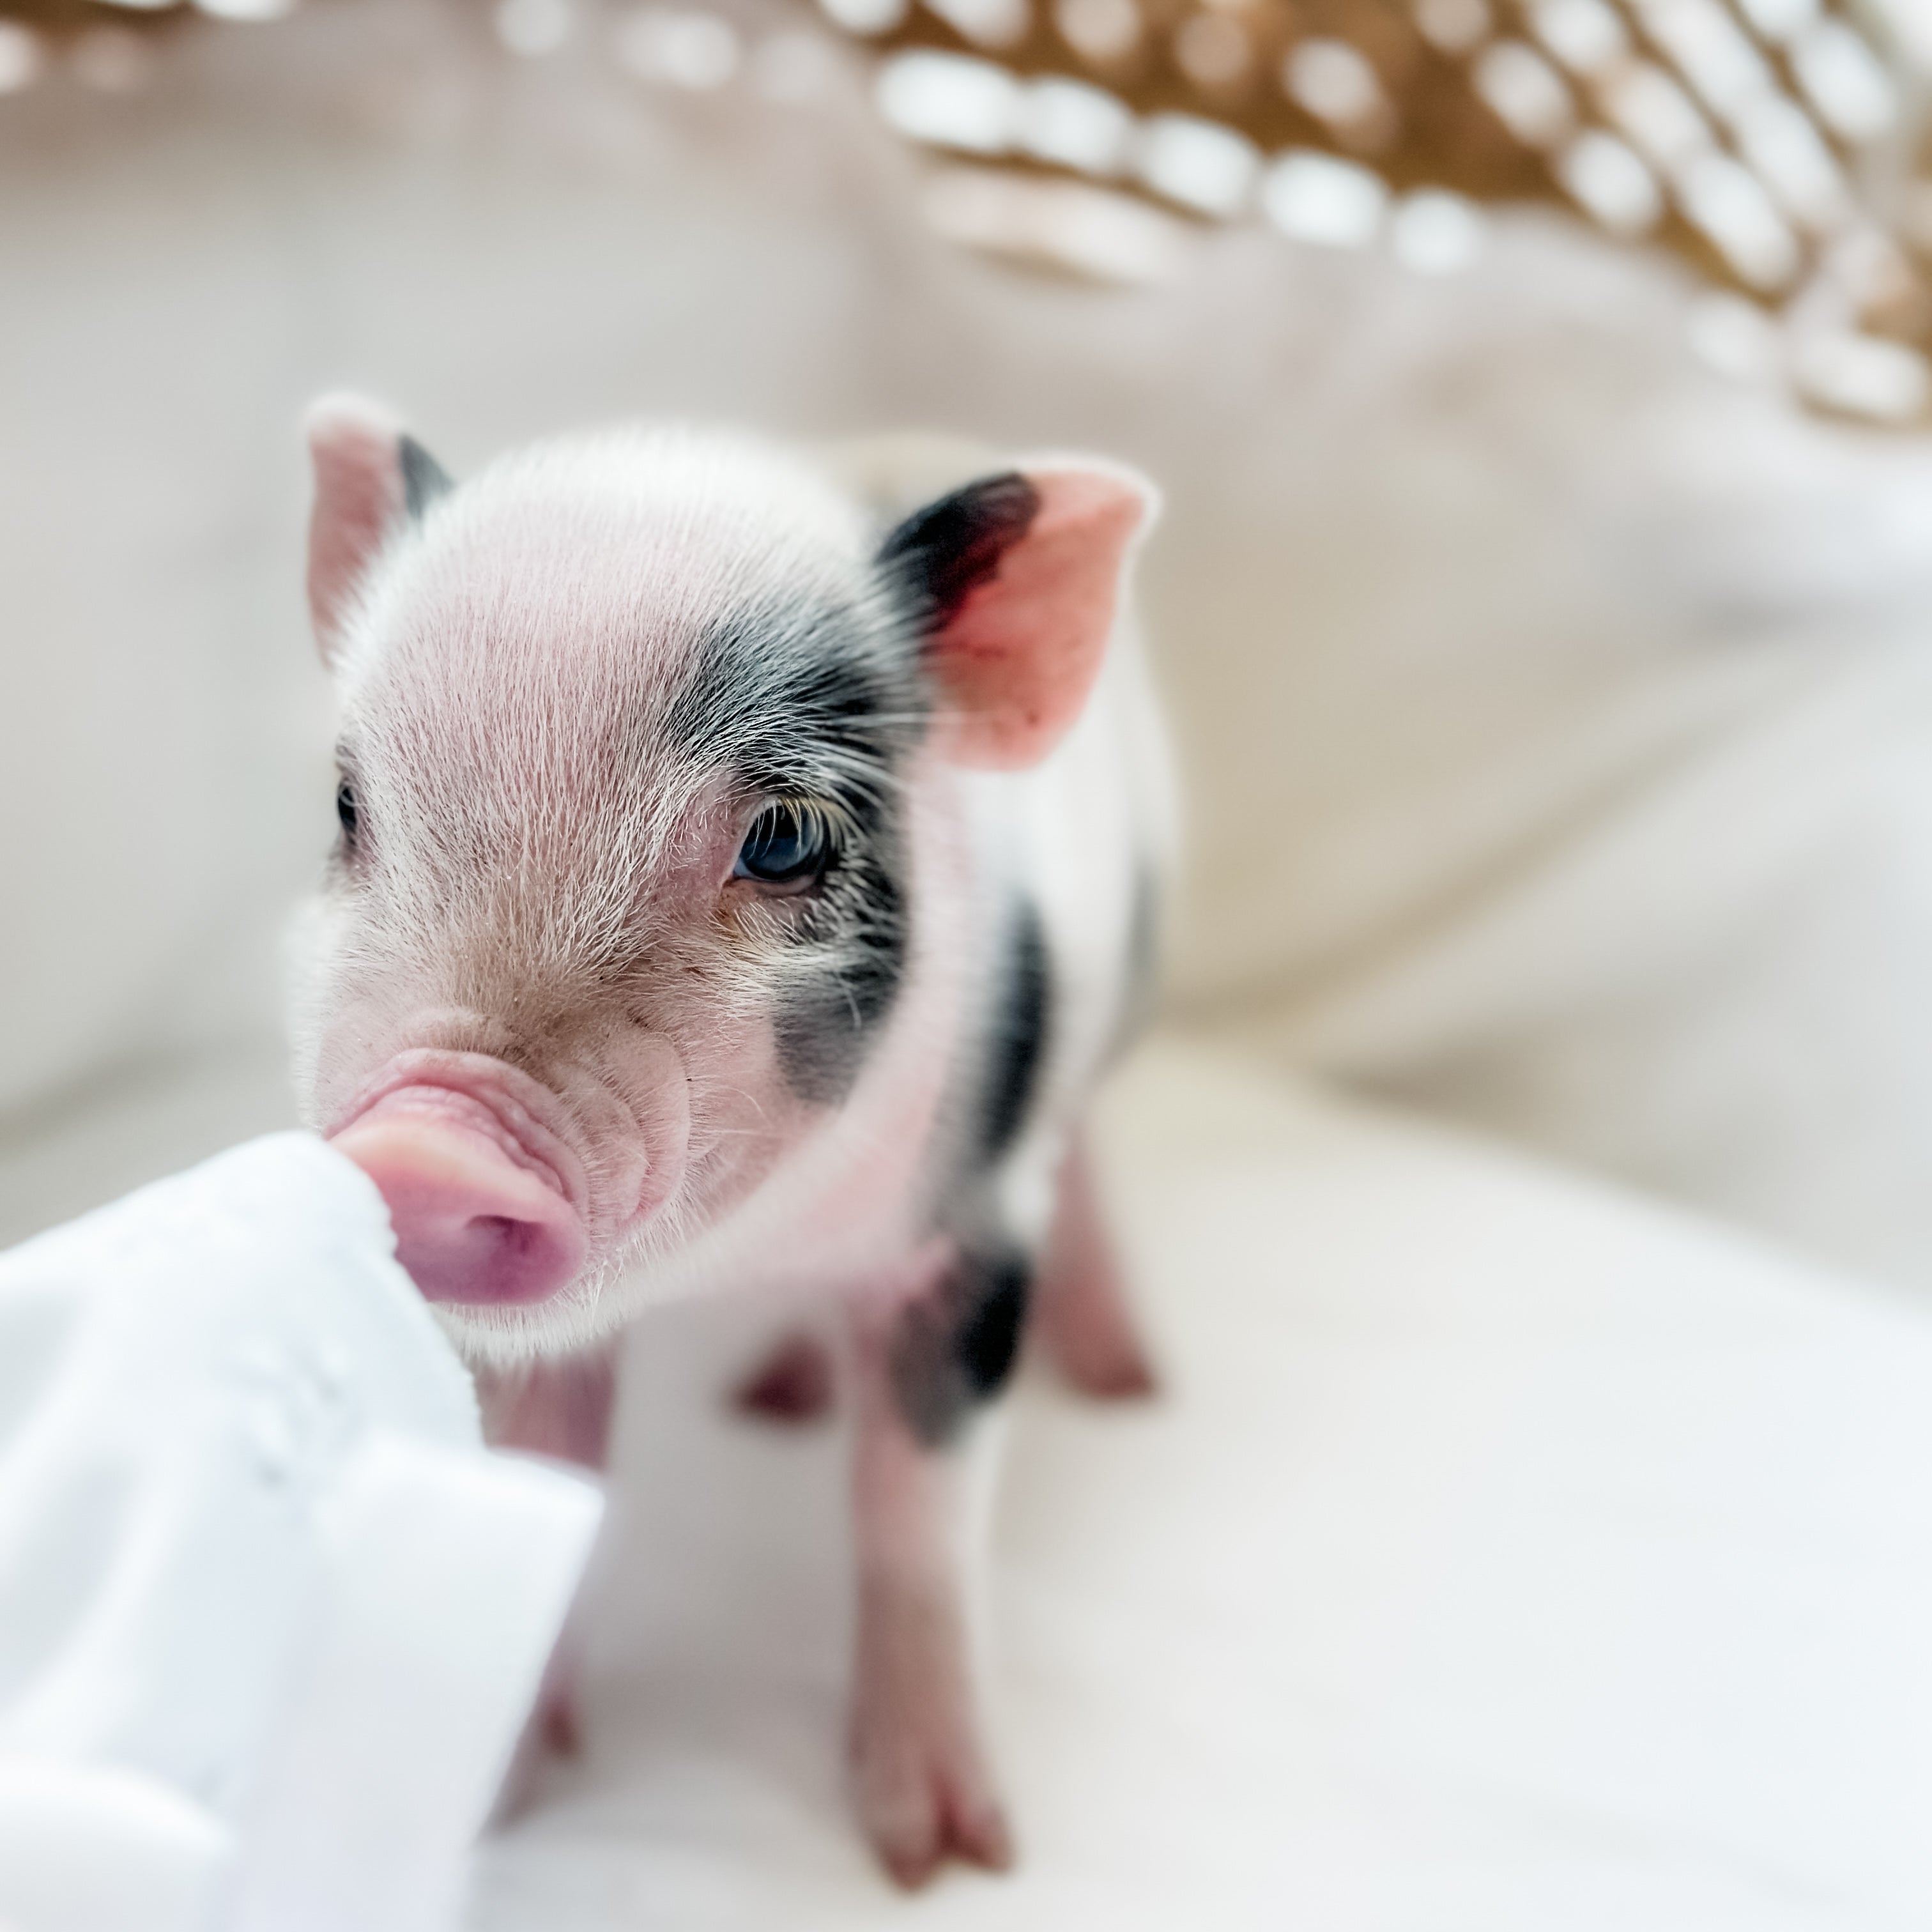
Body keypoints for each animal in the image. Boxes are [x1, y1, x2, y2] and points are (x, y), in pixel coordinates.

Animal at [289, 398, 1174, 1885]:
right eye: (348, 805)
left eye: (784, 838)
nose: (429, 1142)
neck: (752, 1250)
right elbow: (550, 1481)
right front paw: (492, 1812)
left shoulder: (969, 1238)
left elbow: (914, 1514)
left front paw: (942, 1858)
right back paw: (777, 1398)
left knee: (1091, 1150)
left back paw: (1130, 1381)